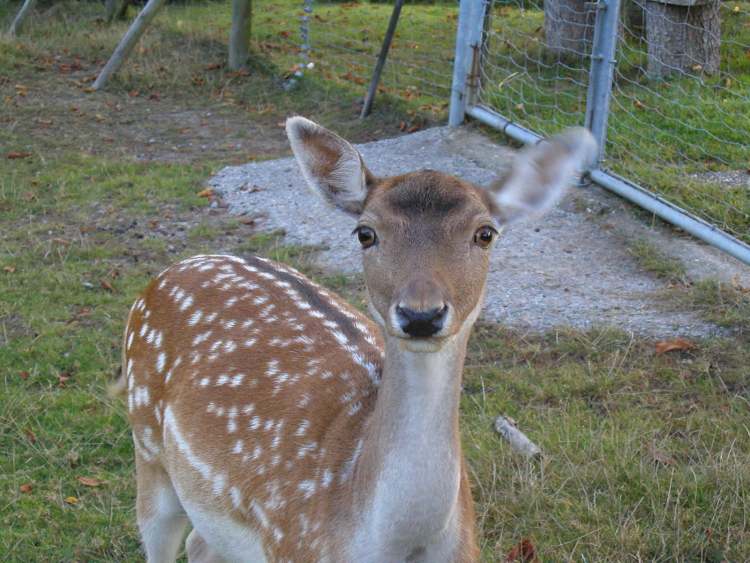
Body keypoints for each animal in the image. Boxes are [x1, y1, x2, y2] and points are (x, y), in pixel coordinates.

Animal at [117, 117, 596, 560]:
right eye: (366, 232)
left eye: (486, 233)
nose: (421, 314)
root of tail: (179, 265)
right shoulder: (292, 544)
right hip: (147, 442)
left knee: (200, 543)